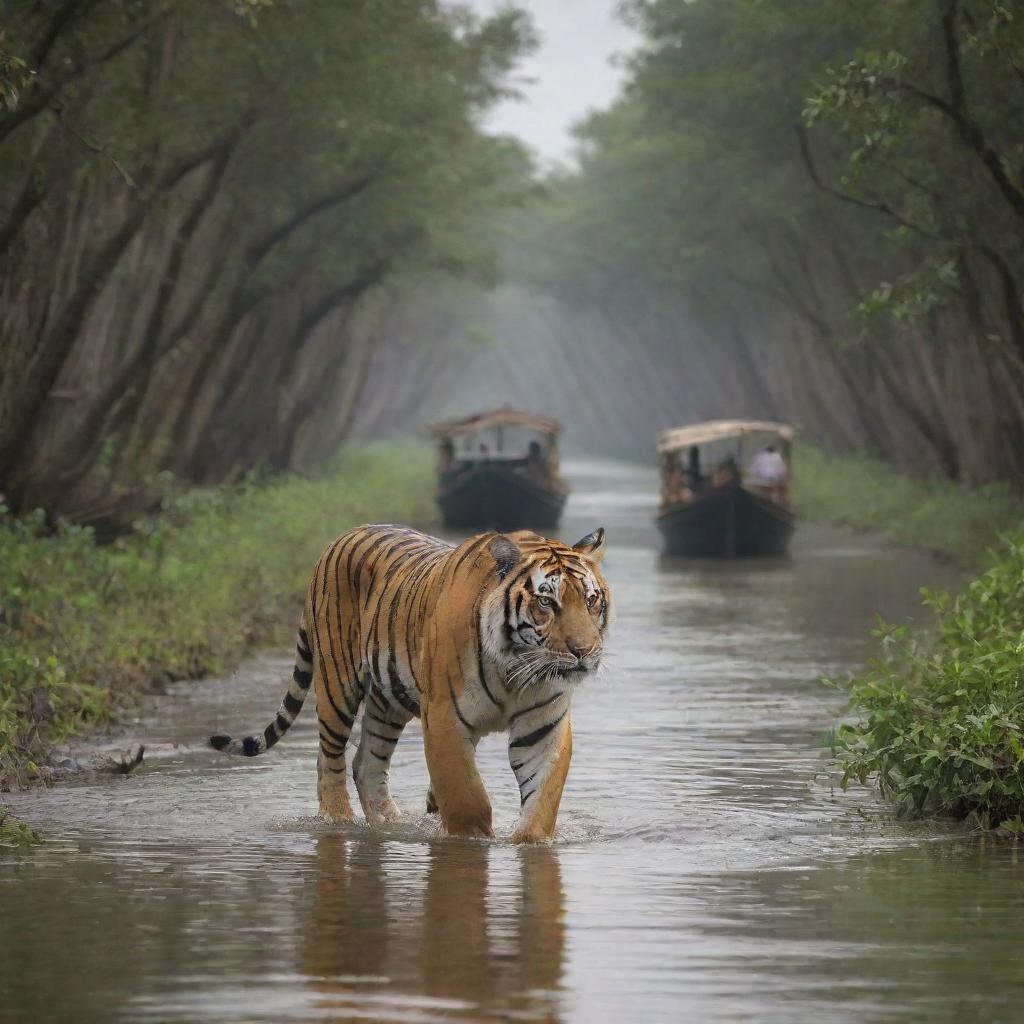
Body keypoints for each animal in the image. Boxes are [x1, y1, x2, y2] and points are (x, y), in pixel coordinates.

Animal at [207, 524, 606, 843]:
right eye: (546, 602)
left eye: (591, 600)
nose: (585, 651)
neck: (515, 669)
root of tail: (337, 540)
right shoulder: (445, 717)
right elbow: (467, 796)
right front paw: (471, 842)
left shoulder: (542, 725)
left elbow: (542, 799)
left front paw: (529, 841)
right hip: (337, 685)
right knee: (329, 760)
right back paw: (340, 821)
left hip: (388, 700)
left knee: (367, 764)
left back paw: (390, 823)